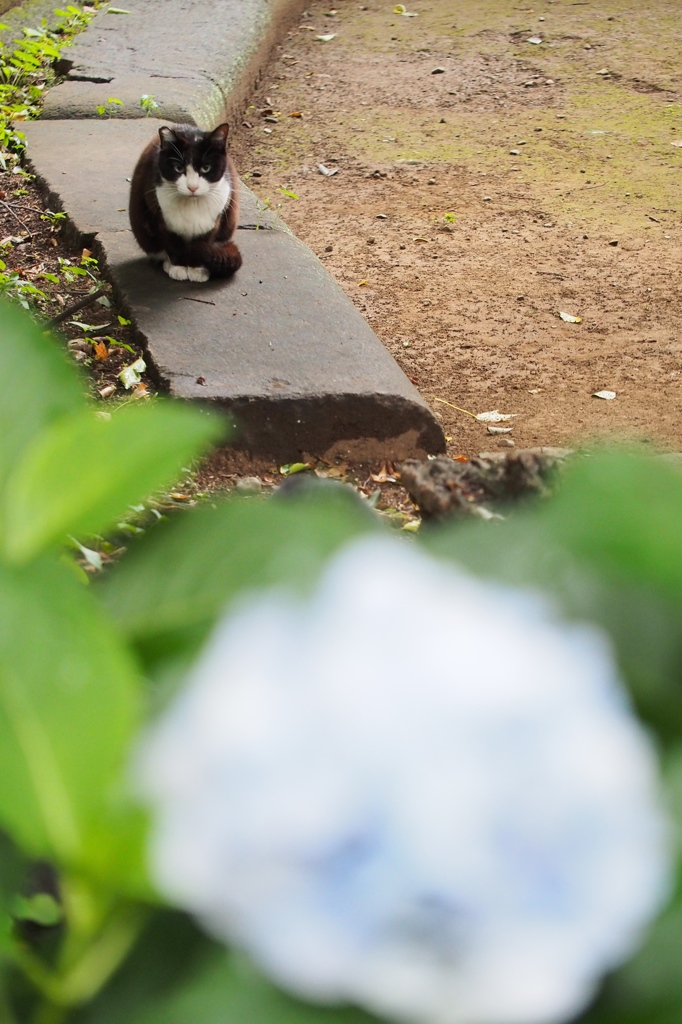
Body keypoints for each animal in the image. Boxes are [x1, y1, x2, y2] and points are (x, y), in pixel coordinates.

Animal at [129, 123, 240, 284]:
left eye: (206, 168)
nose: (192, 187)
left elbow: (201, 246)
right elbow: (173, 245)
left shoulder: (213, 223)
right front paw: (179, 268)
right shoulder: (160, 218)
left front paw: (197, 269)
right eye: (178, 168)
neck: (192, 205)